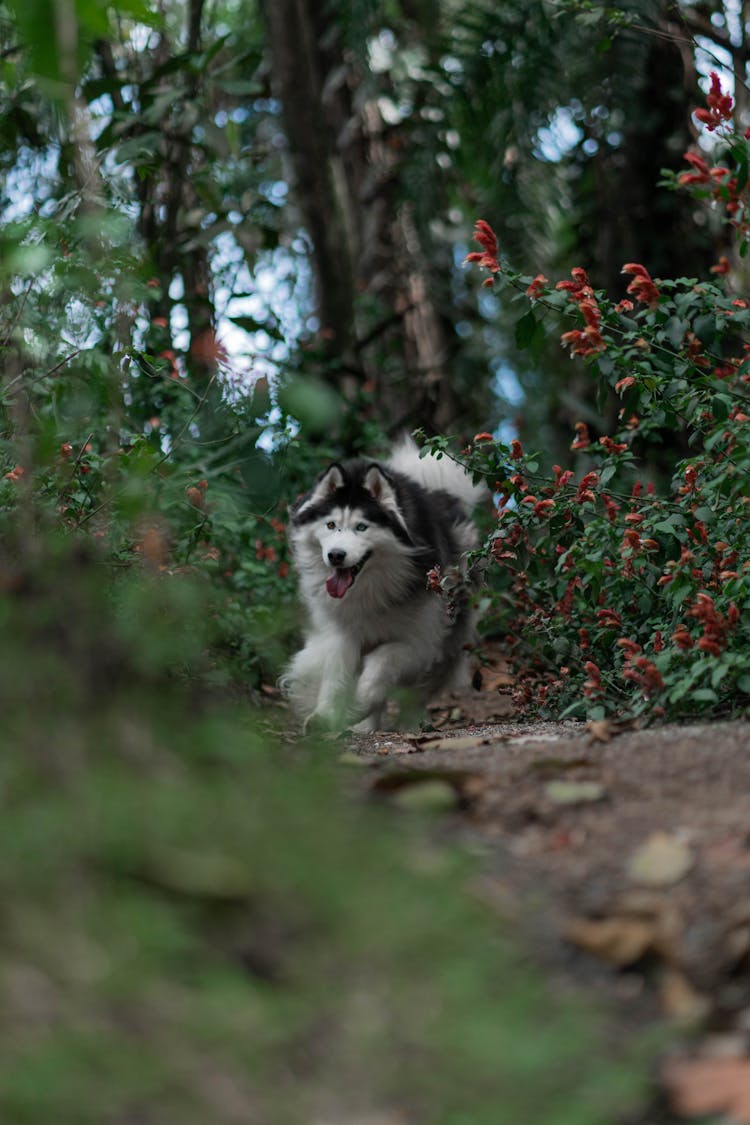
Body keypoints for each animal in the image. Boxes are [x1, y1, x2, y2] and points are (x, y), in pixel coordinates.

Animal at [283, 434, 488, 733]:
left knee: (418, 692)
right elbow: (336, 673)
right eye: (331, 525)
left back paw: (409, 724)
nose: (336, 555)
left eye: (361, 527)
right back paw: (366, 727)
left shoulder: (420, 641)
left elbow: (380, 663)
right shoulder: (340, 631)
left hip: (449, 640)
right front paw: (327, 716)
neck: (371, 588)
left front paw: (356, 707)